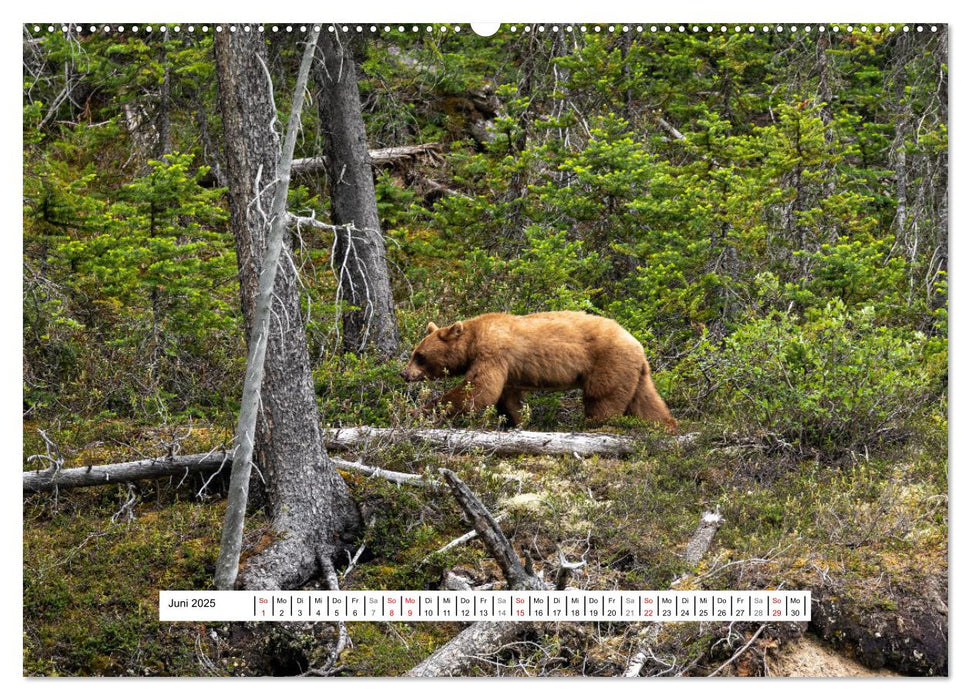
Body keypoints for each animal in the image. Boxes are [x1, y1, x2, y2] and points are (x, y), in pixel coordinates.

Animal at [398, 312, 680, 432]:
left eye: (419, 356)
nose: (404, 373)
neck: (472, 340)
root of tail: (638, 344)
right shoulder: (509, 370)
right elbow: (507, 398)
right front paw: (516, 421)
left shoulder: (493, 351)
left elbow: (479, 390)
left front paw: (416, 411)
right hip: (634, 372)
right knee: (646, 401)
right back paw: (665, 424)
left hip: (609, 362)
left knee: (603, 399)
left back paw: (596, 425)